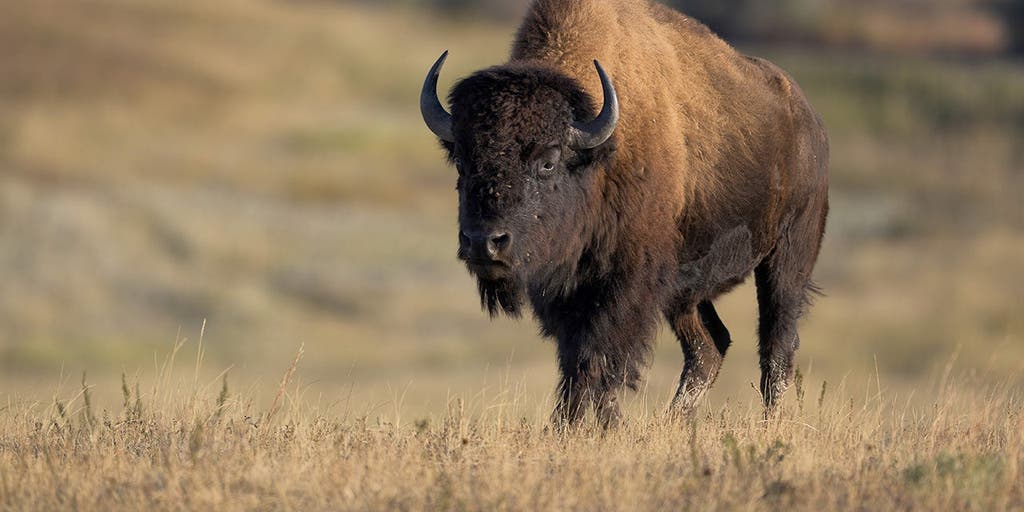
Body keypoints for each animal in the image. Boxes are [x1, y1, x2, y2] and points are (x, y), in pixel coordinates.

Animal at [420, 0, 829, 426]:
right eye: (462, 161)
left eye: (548, 161)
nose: (484, 243)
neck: (598, 154)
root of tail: (810, 120)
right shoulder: (567, 293)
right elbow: (576, 360)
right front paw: (573, 424)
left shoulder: (627, 284)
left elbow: (602, 357)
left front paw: (594, 425)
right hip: (686, 292)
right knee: (709, 346)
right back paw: (673, 422)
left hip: (788, 257)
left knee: (777, 345)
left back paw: (769, 423)